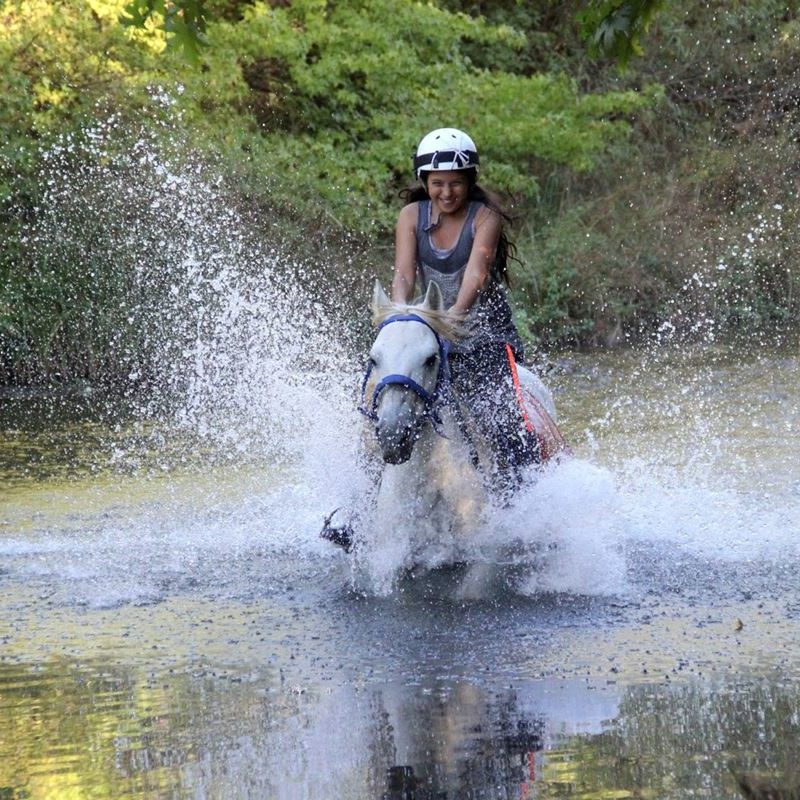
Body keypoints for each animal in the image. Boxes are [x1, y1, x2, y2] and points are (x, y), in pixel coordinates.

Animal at [322, 278, 564, 592]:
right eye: (374, 359)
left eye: (430, 358)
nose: (393, 435)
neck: (432, 476)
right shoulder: (395, 557)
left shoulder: (479, 560)